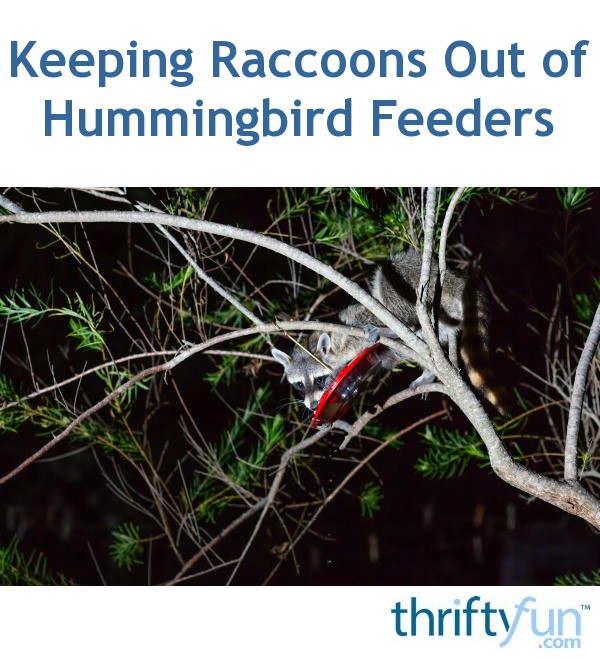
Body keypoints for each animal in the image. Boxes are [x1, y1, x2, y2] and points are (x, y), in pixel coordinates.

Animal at [271, 250, 510, 415]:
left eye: (319, 380)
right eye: (299, 385)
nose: (313, 405)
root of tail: (457, 280)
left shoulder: (353, 329)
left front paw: (336, 374)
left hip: (427, 286)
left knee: (390, 280)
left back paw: (397, 328)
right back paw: (428, 371)